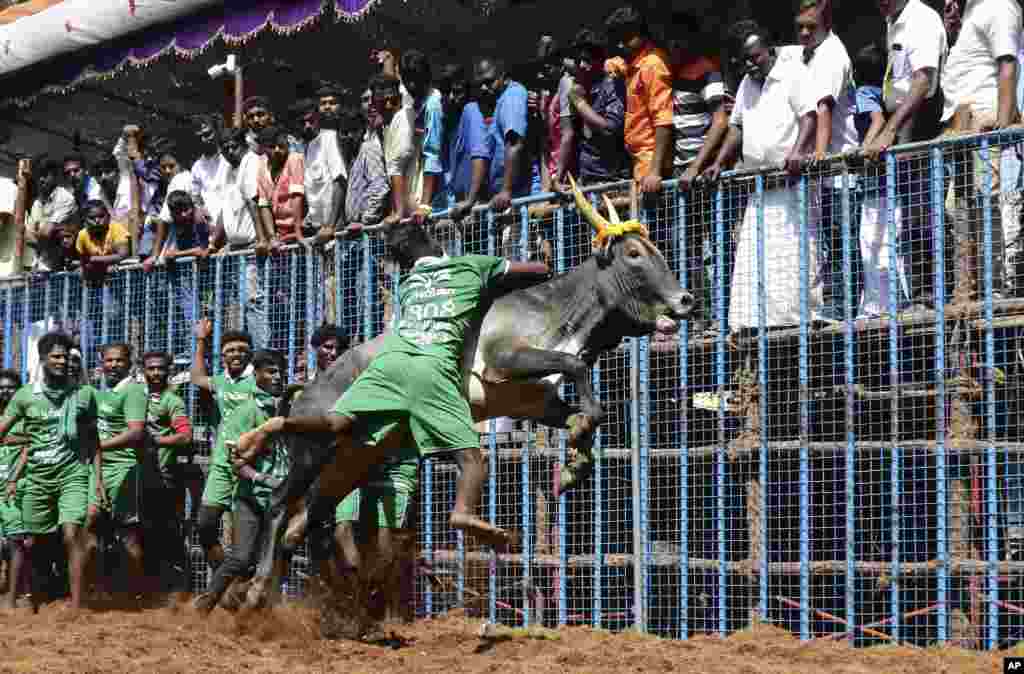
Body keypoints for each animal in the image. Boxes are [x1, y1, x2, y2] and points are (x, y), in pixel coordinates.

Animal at [244, 180, 696, 610]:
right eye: (634, 253)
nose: (685, 300)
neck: (558, 311)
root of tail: (305, 389)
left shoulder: (534, 400)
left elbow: (582, 410)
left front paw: (573, 464)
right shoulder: (505, 360)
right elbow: (577, 369)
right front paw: (578, 440)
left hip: (349, 462)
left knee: (305, 523)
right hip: (313, 452)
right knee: (280, 505)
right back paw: (256, 583)